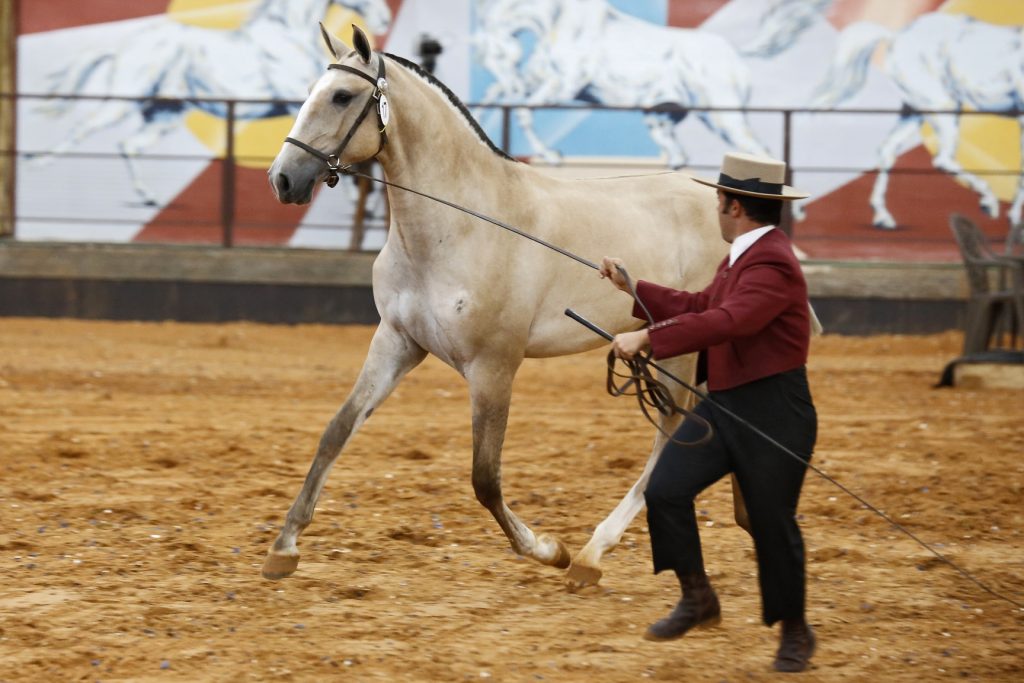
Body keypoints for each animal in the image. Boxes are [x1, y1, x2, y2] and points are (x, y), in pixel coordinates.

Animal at [33, 0, 391, 205]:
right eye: (339, 96)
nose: (386, 18)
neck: (286, 35)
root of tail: (129, 45)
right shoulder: (294, 101)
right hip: (121, 102)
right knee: (81, 130)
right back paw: (37, 161)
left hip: (164, 116)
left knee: (128, 145)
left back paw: (148, 197)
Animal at [262, 22, 745, 589]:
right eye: (309, 93)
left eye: (341, 96)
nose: (282, 179)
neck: (462, 225)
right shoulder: (397, 342)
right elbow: (336, 431)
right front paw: (284, 546)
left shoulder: (494, 367)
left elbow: (485, 478)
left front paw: (548, 549)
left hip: (680, 347)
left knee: (671, 430)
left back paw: (590, 555)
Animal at [468, 0, 827, 167]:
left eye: (495, 52)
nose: (504, 70)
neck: (555, 21)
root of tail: (735, 52)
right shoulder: (542, 82)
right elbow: (496, 98)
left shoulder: (564, 86)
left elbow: (523, 111)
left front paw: (551, 154)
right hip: (662, 118)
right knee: (678, 157)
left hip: (724, 117)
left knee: (760, 151)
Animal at [806, 12, 1024, 229]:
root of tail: (895, 36)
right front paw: (1013, 218)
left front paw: (1013, 218)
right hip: (943, 105)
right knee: (942, 159)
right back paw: (989, 203)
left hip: (914, 110)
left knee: (888, 150)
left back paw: (883, 217)